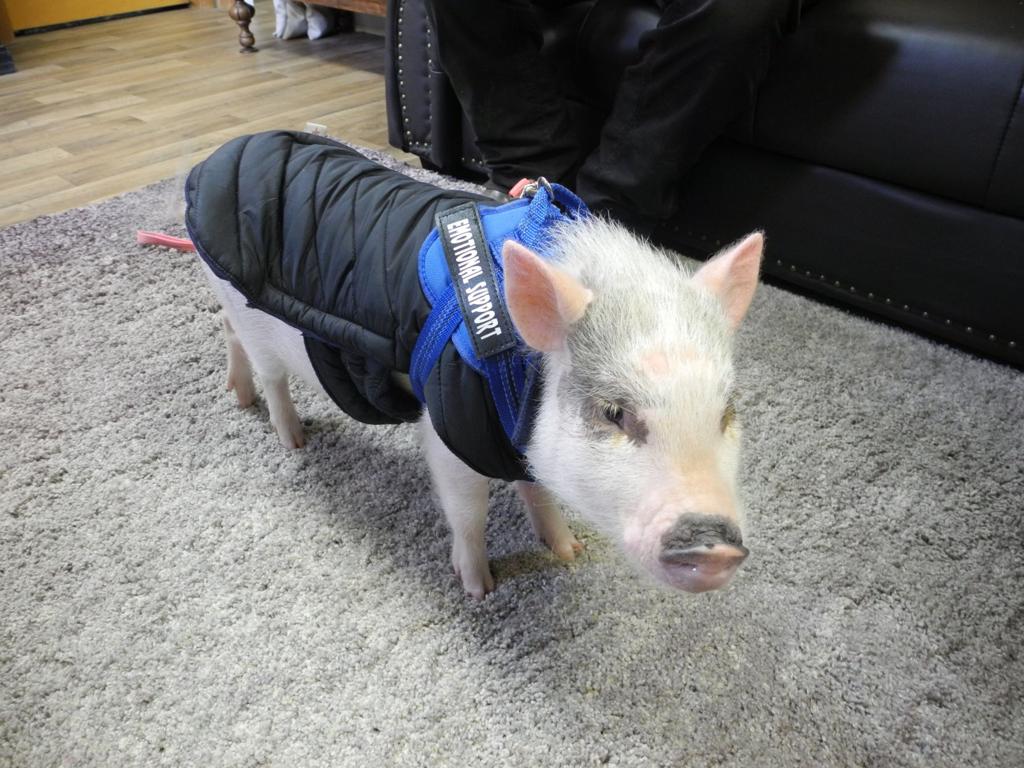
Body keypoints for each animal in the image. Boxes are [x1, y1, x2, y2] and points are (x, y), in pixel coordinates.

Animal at [200, 216, 763, 599]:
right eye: (613, 413)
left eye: (726, 413)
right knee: (271, 375)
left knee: (225, 329)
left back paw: (240, 395)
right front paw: (479, 588)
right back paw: (292, 438)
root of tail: (216, 161)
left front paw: (570, 552)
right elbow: (468, 511)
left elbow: (539, 493)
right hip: (253, 322)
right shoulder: (448, 435)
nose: (715, 543)